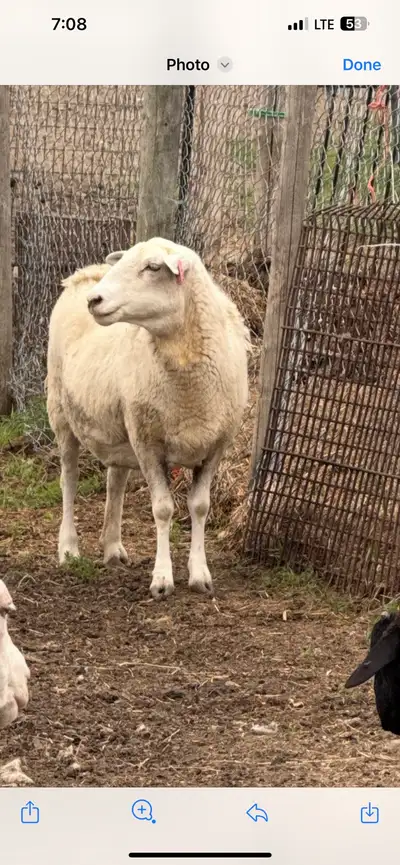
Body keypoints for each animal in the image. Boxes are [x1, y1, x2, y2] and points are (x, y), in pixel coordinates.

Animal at [47, 238, 250, 599]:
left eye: (153, 267)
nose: (94, 300)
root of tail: (85, 272)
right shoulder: (148, 443)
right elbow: (163, 508)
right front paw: (162, 579)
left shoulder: (216, 445)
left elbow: (200, 506)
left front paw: (200, 574)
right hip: (62, 410)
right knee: (68, 478)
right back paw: (68, 547)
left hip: (120, 424)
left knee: (115, 481)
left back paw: (112, 547)